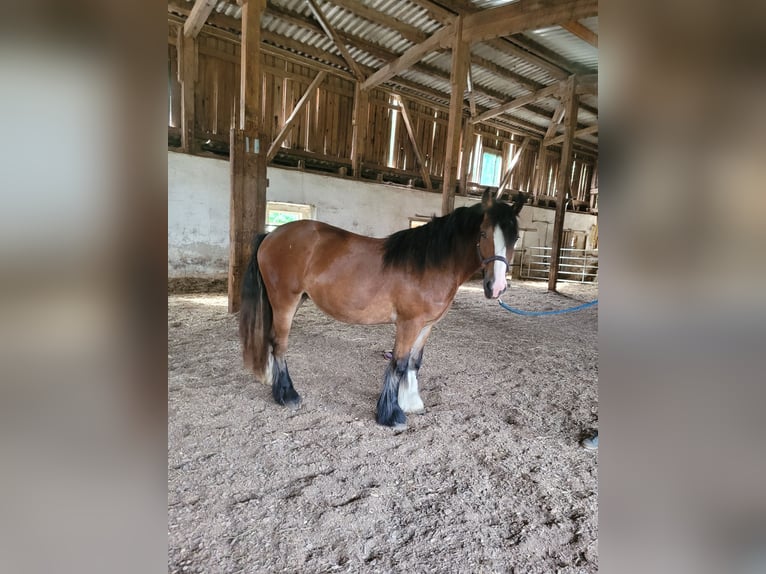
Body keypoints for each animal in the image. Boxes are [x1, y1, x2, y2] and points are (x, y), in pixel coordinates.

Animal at [242, 189, 528, 428]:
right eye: (484, 234)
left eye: (515, 237)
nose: (496, 287)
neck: (430, 263)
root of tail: (271, 235)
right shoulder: (408, 324)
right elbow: (398, 364)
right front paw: (391, 414)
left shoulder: (426, 325)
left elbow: (414, 362)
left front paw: (411, 402)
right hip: (285, 302)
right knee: (280, 344)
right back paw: (287, 395)